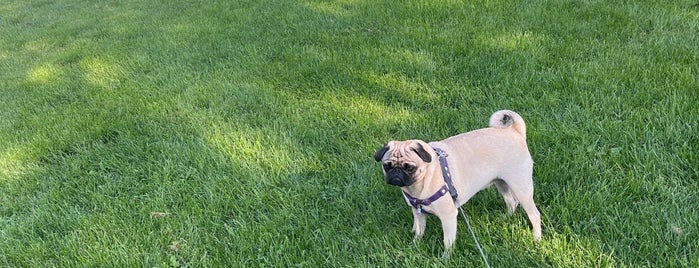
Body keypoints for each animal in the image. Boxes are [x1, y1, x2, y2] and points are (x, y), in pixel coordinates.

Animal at [374, 110, 544, 252]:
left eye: (410, 168)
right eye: (387, 166)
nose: (396, 172)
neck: (421, 184)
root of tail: (513, 131)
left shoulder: (448, 216)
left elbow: (448, 241)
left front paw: (445, 257)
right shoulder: (418, 212)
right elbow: (419, 230)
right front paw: (414, 245)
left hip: (521, 187)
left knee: (534, 215)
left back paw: (536, 239)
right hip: (501, 183)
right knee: (511, 201)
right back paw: (506, 217)